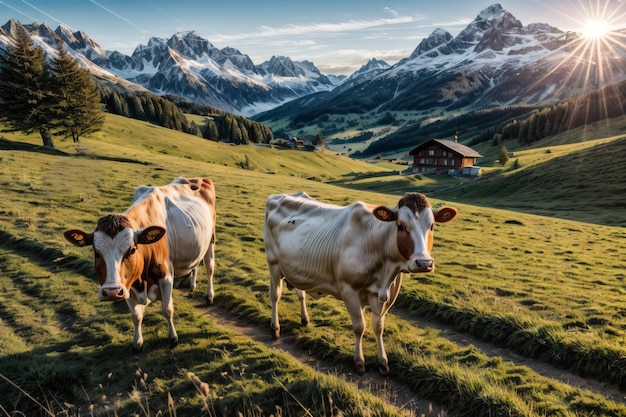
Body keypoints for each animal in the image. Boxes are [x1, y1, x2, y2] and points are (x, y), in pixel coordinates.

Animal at [63, 176, 214, 352]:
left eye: (132, 249)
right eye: (96, 252)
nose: (111, 292)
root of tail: (195, 179)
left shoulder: (165, 277)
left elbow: (167, 309)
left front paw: (173, 338)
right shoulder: (127, 284)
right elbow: (137, 315)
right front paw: (137, 342)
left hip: (211, 239)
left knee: (209, 267)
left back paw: (210, 296)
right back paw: (192, 286)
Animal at [260, 192, 456, 374]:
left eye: (432, 226)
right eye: (400, 225)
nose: (424, 263)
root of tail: (279, 195)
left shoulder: (387, 296)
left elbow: (378, 327)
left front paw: (383, 361)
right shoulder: (349, 290)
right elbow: (359, 327)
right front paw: (359, 361)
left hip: (294, 268)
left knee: (300, 292)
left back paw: (304, 318)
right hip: (273, 263)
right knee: (275, 296)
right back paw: (275, 328)